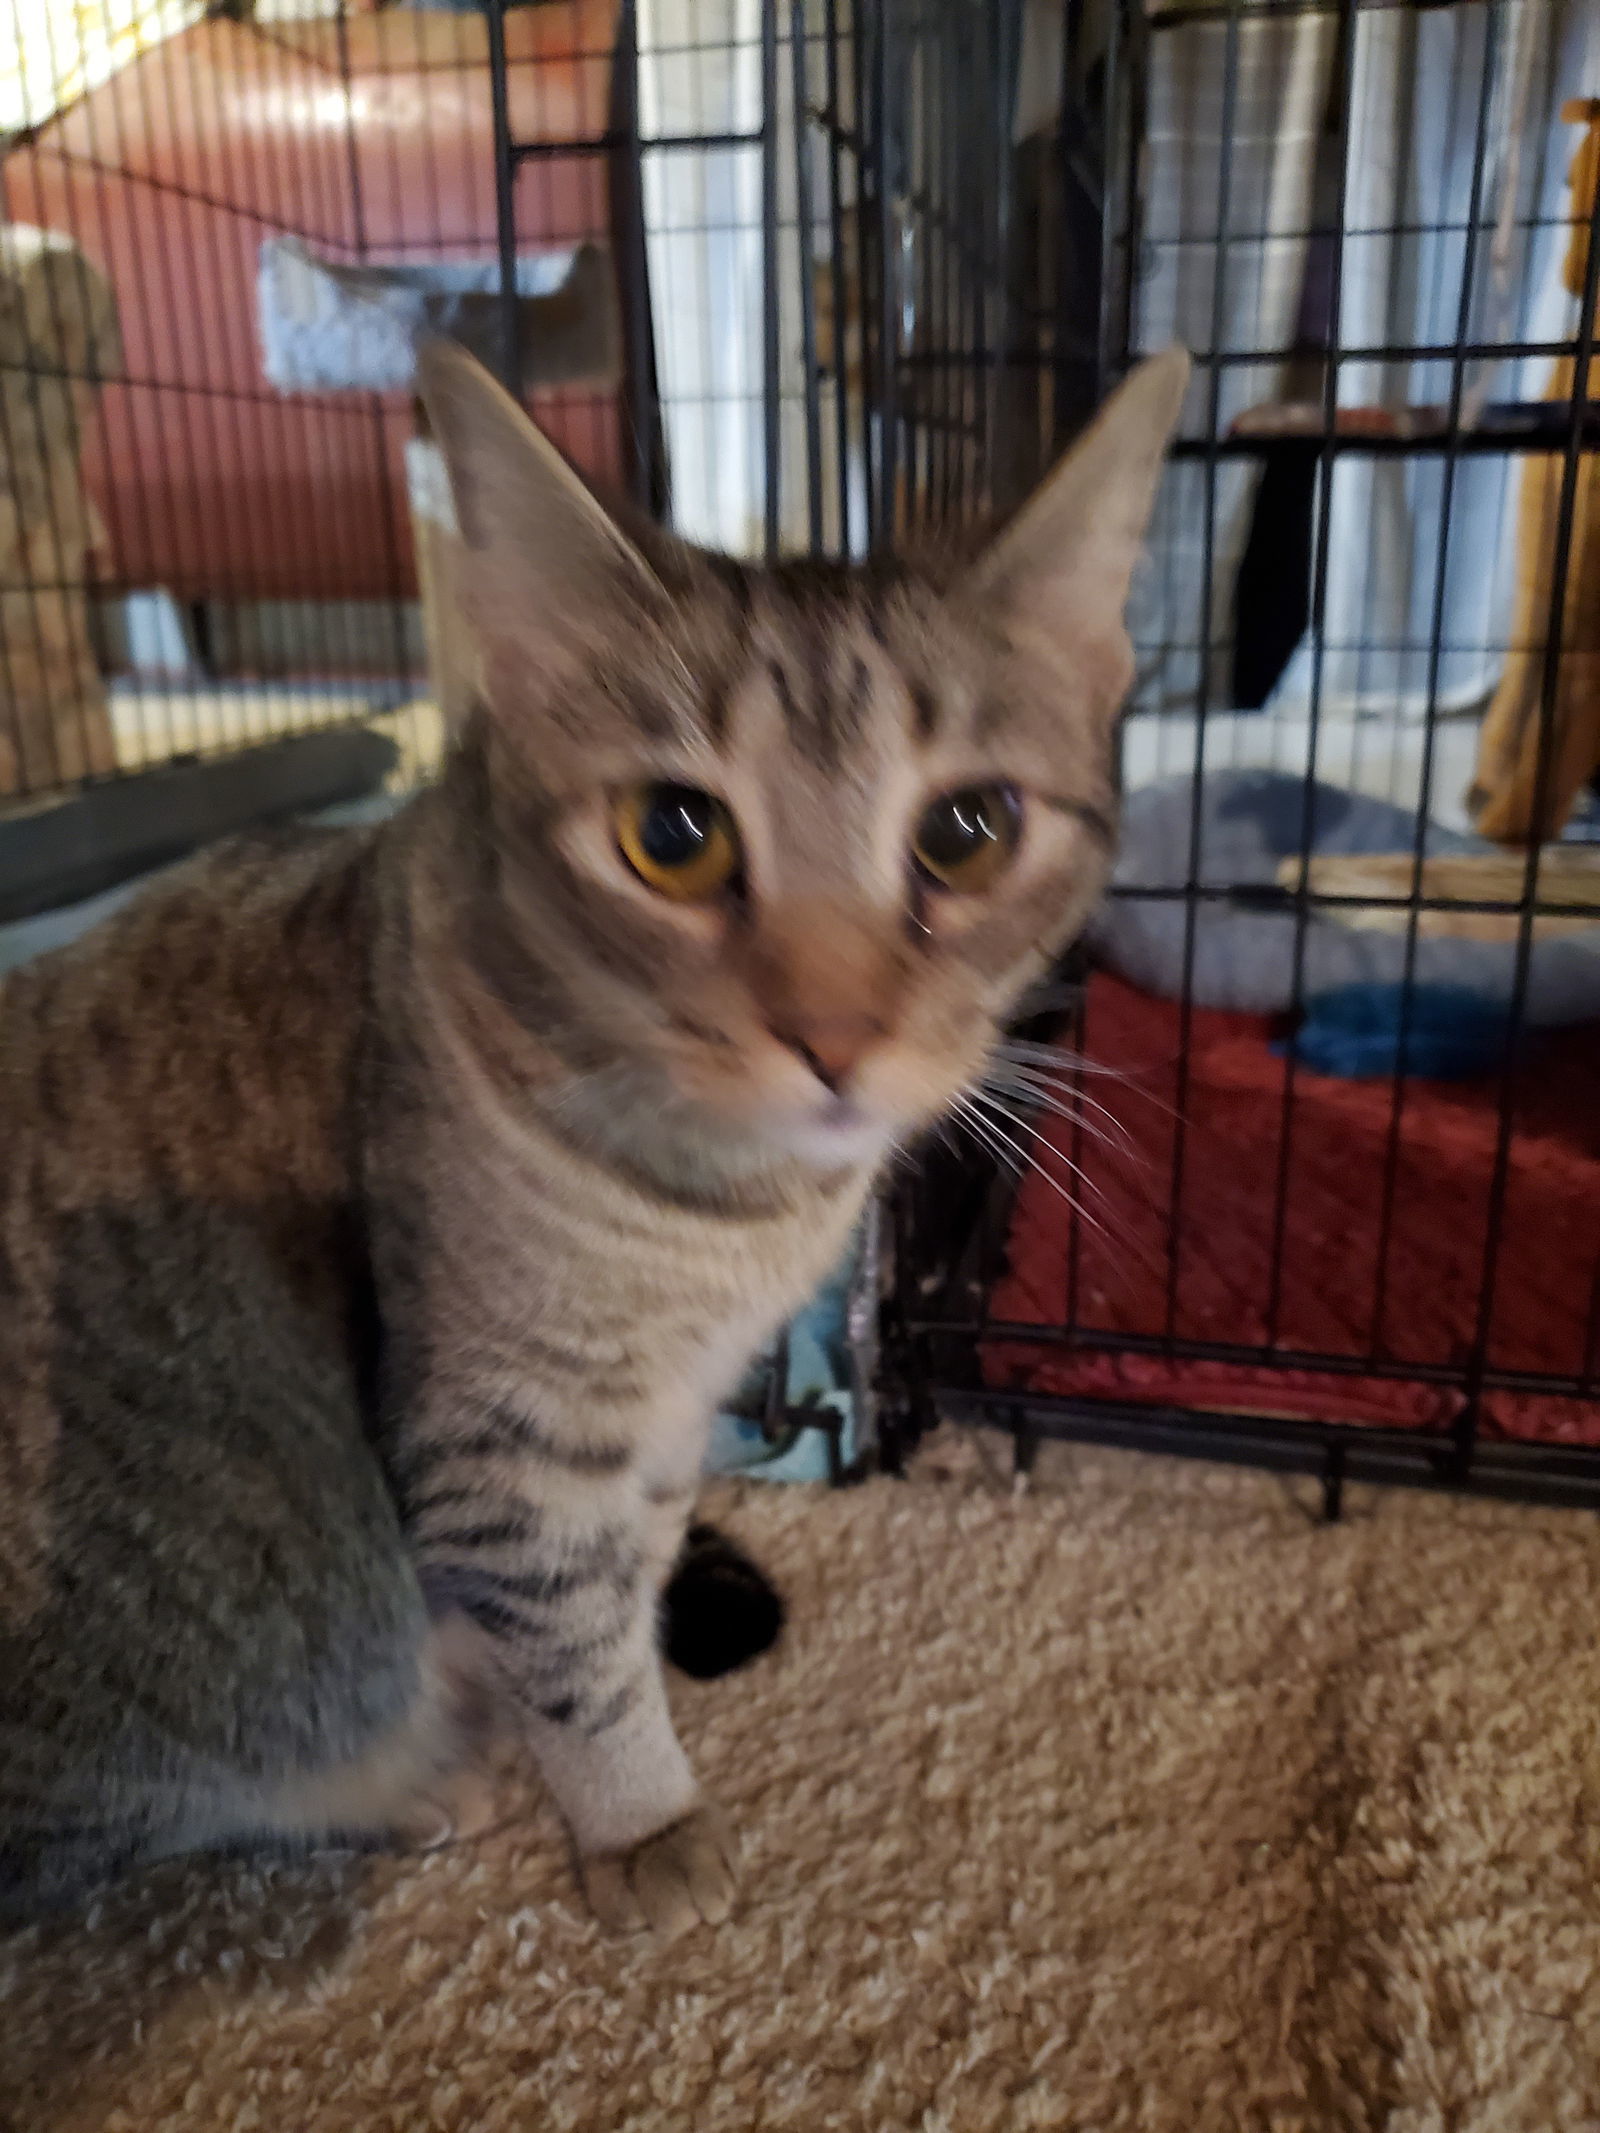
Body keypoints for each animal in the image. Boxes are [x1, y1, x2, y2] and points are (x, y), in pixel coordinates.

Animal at [0, 332, 1177, 1936]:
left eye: (969, 831)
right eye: (672, 837)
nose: (833, 1034)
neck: (732, 1218)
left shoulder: (667, 1420)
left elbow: (630, 1569)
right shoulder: (508, 1433)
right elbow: (573, 1636)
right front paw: (637, 1812)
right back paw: (392, 1787)